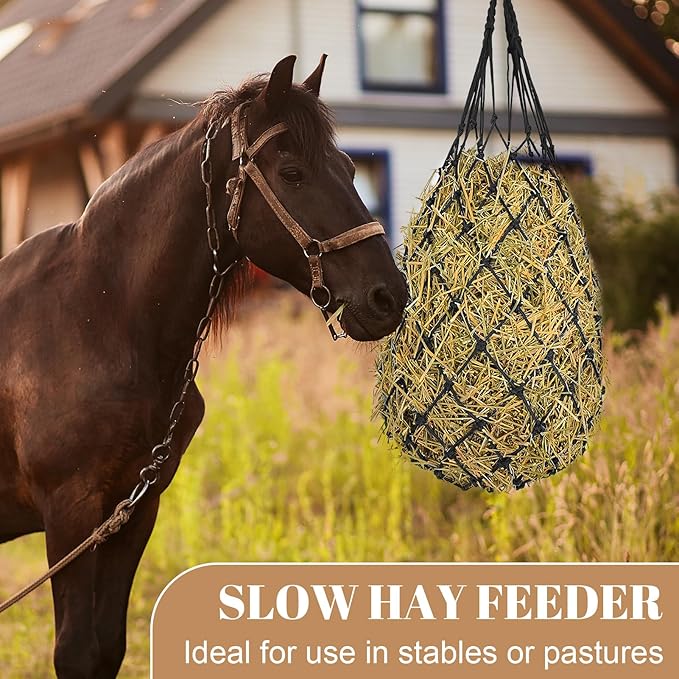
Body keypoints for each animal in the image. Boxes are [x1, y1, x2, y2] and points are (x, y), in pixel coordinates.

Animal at [0, 54, 407, 678]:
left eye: (346, 167)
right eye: (291, 172)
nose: (389, 295)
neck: (98, 316)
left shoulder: (133, 510)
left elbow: (106, 648)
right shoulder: (70, 511)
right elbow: (75, 653)